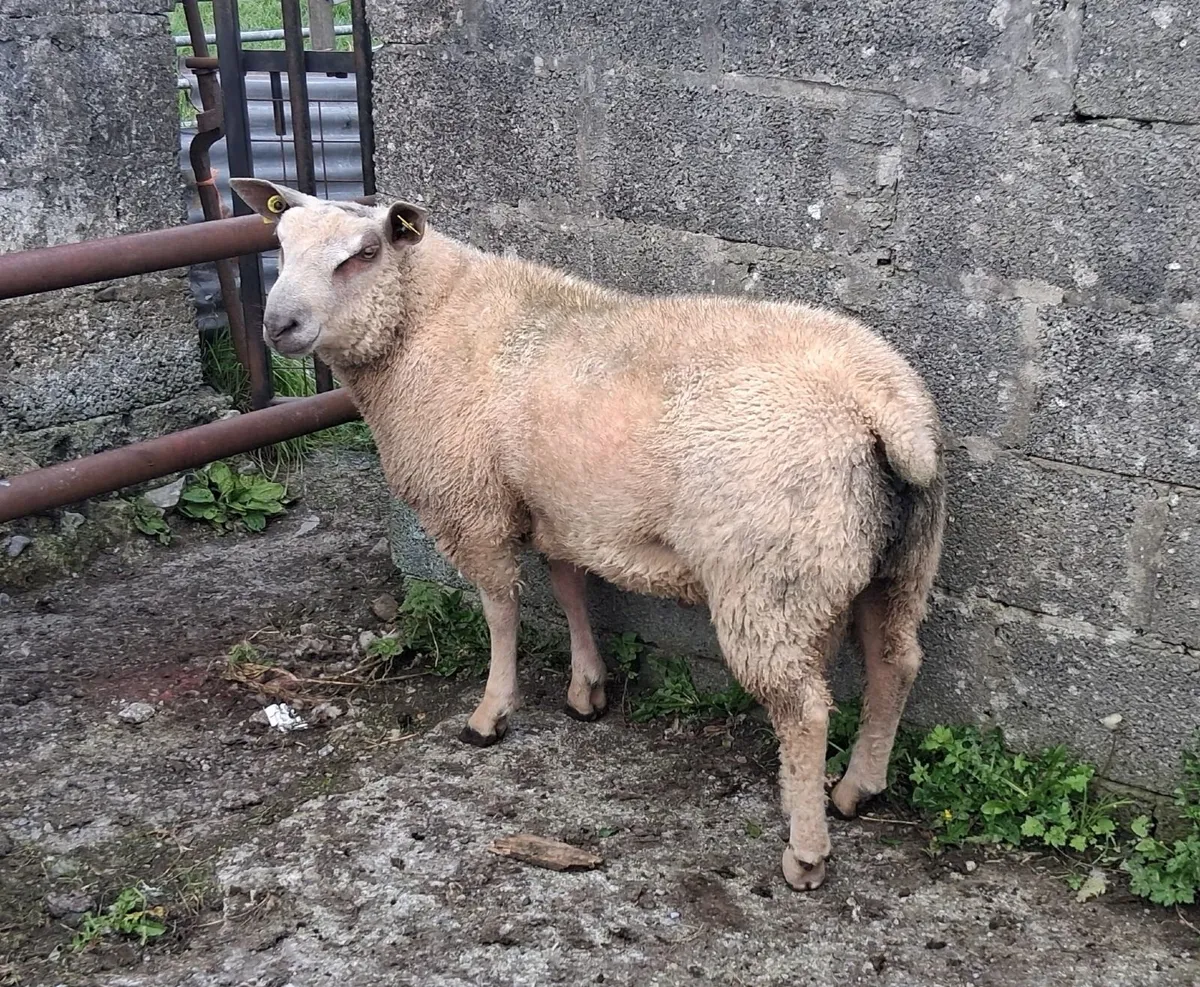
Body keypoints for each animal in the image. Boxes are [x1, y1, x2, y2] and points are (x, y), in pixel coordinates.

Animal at [229, 178, 947, 892]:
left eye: (366, 253)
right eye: (279, 242)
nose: (278, 325)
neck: (425, 326)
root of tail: (882, 406)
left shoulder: (473, 506)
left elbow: (501, 611)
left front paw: (492, 713)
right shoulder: (559, 509)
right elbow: (570, 588)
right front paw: (587, 689)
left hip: (773, 578)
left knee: (805, 711)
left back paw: (807, 850)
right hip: (897, 559)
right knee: (894, 663)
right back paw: (857, 789)